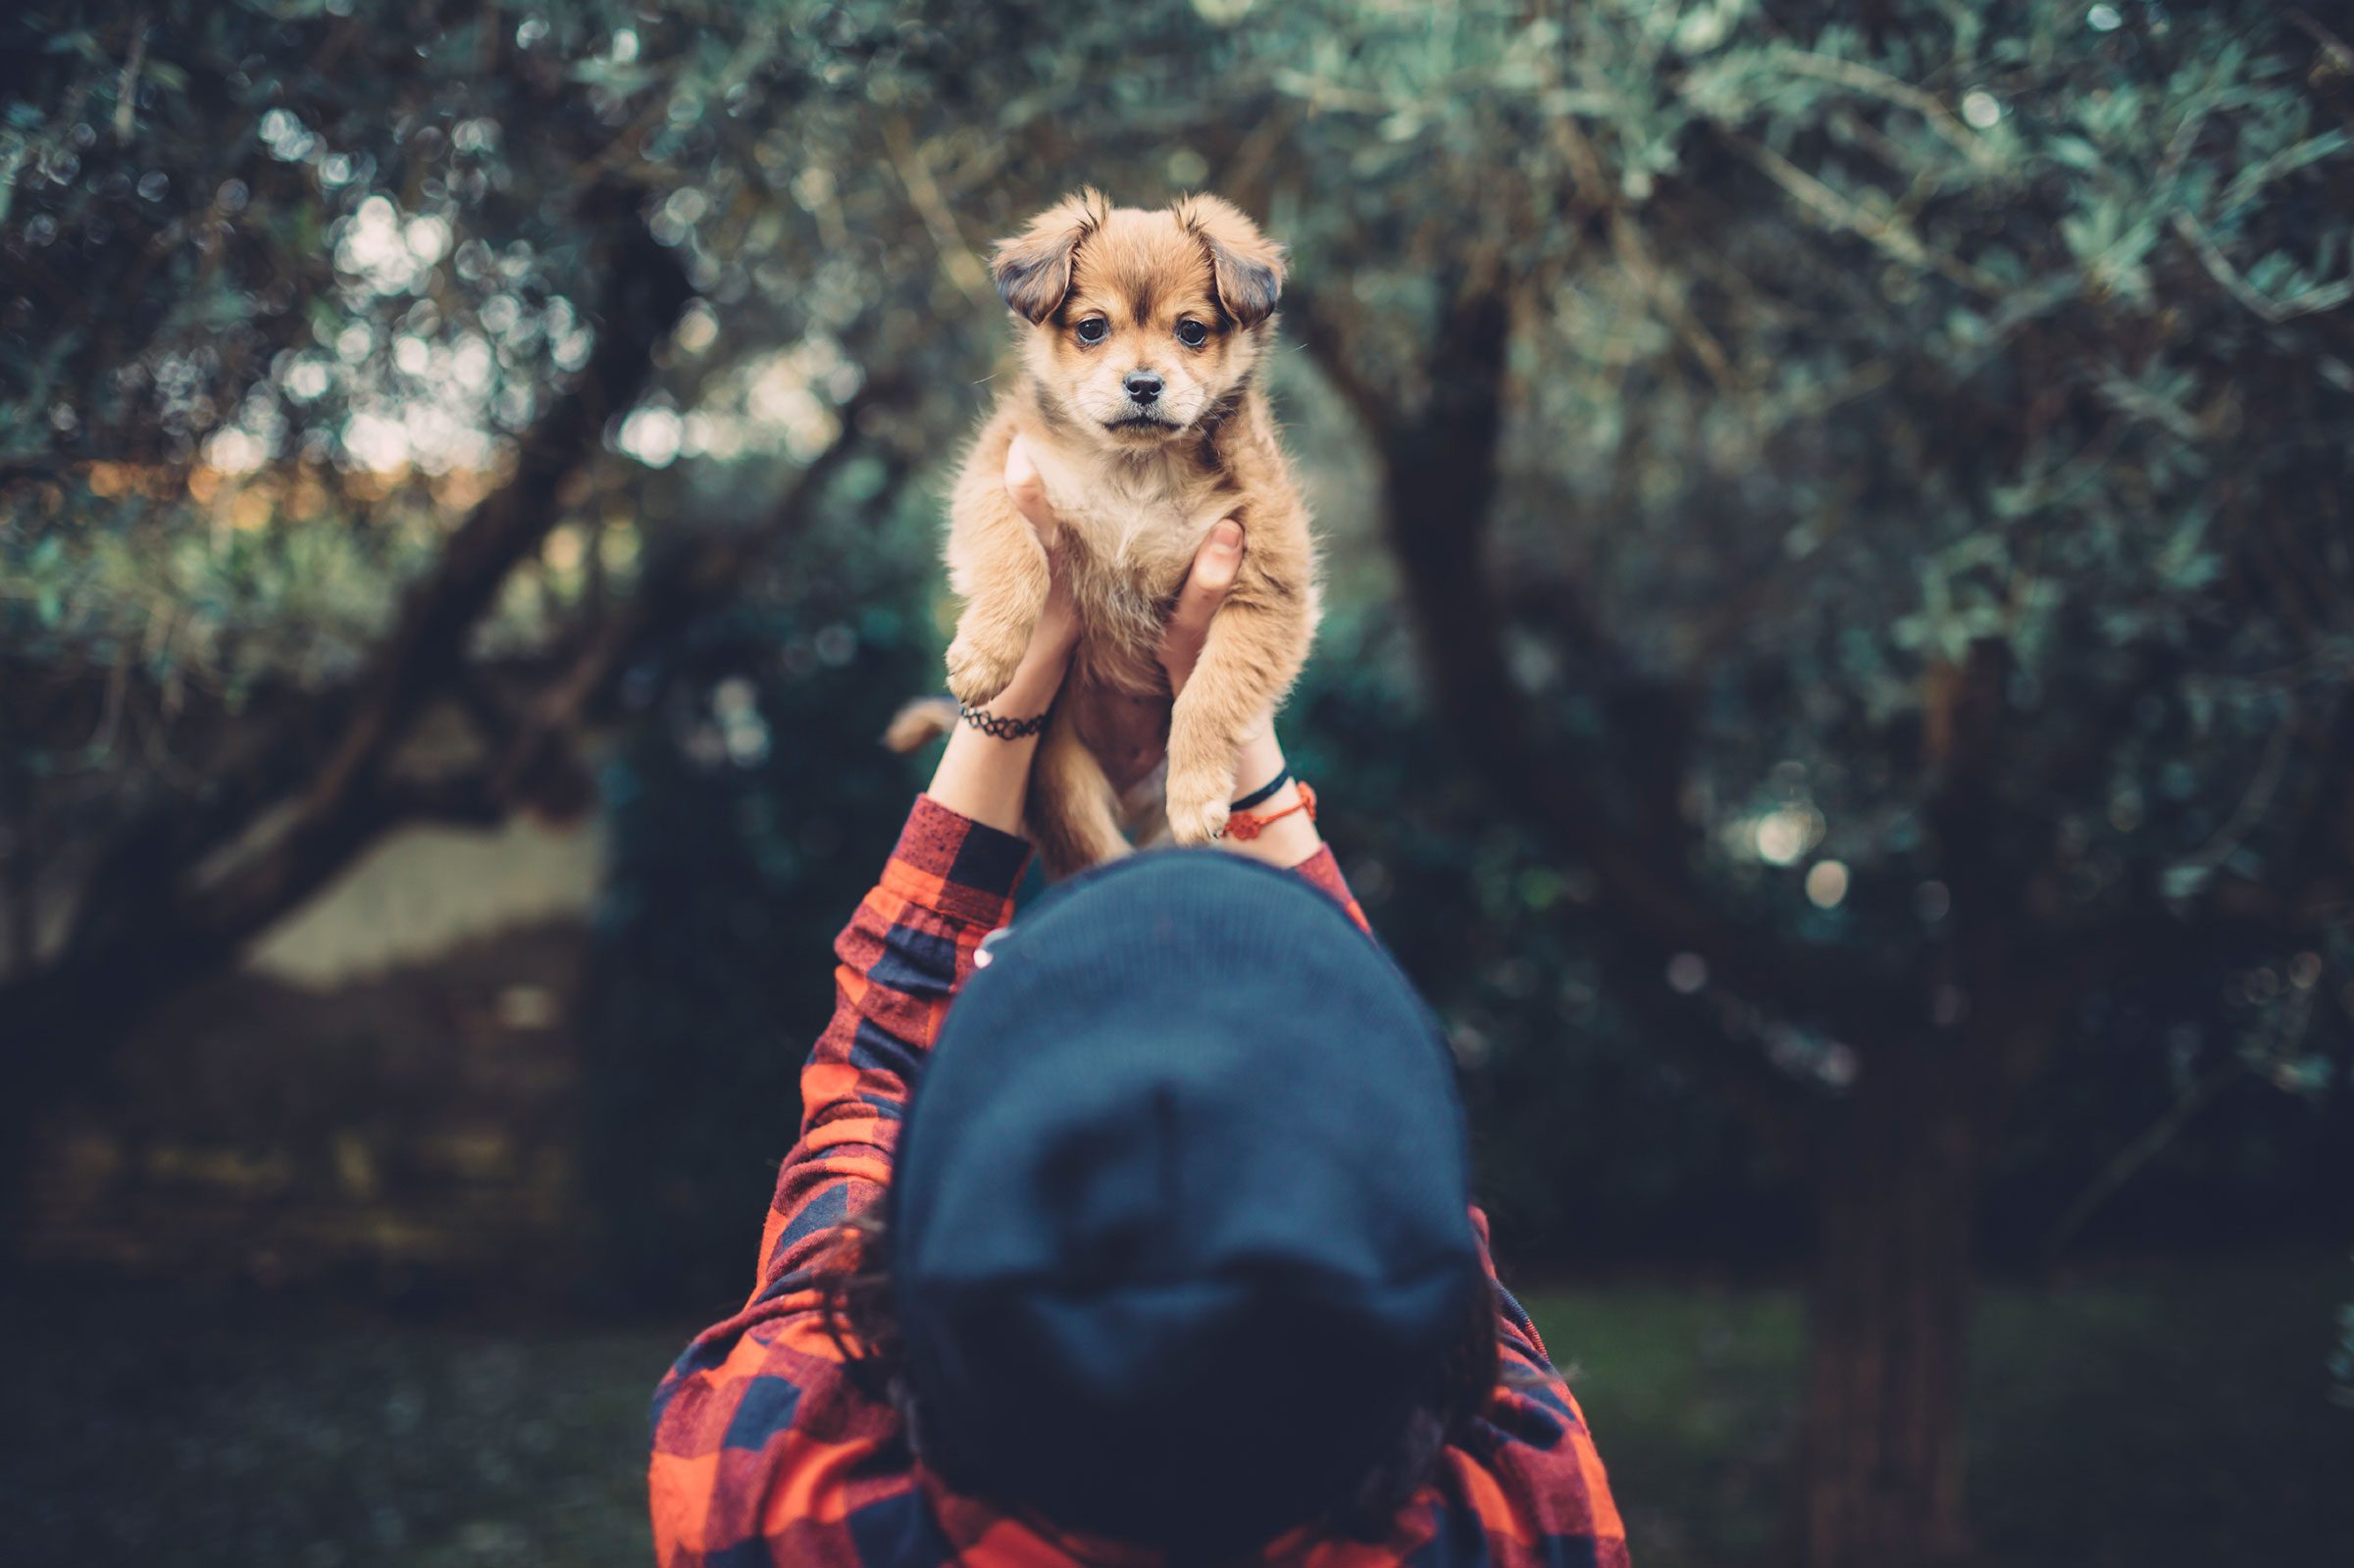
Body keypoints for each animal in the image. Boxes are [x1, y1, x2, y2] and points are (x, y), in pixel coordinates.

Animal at [937, 189, 1318, 871]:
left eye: (1191, 331)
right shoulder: (996, 478)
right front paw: (987, 655)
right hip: (1066, 785)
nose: (1143, 385)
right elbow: (1018, 559)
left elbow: (1212, 690)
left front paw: (1196, 792)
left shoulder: (1269, 583)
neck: (1136, 474)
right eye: (1093, 327)